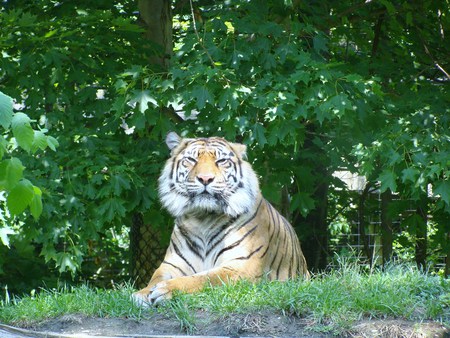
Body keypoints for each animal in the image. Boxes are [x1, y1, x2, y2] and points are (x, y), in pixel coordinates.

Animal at [133, 131, 310, 304]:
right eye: (191, 160)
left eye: (221, 161)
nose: (205, 179)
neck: (202, 218)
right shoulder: (172, 264)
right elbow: (155, 277)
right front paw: (141, 294)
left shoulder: (242, 265)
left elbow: (205, 278)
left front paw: (166, 289)